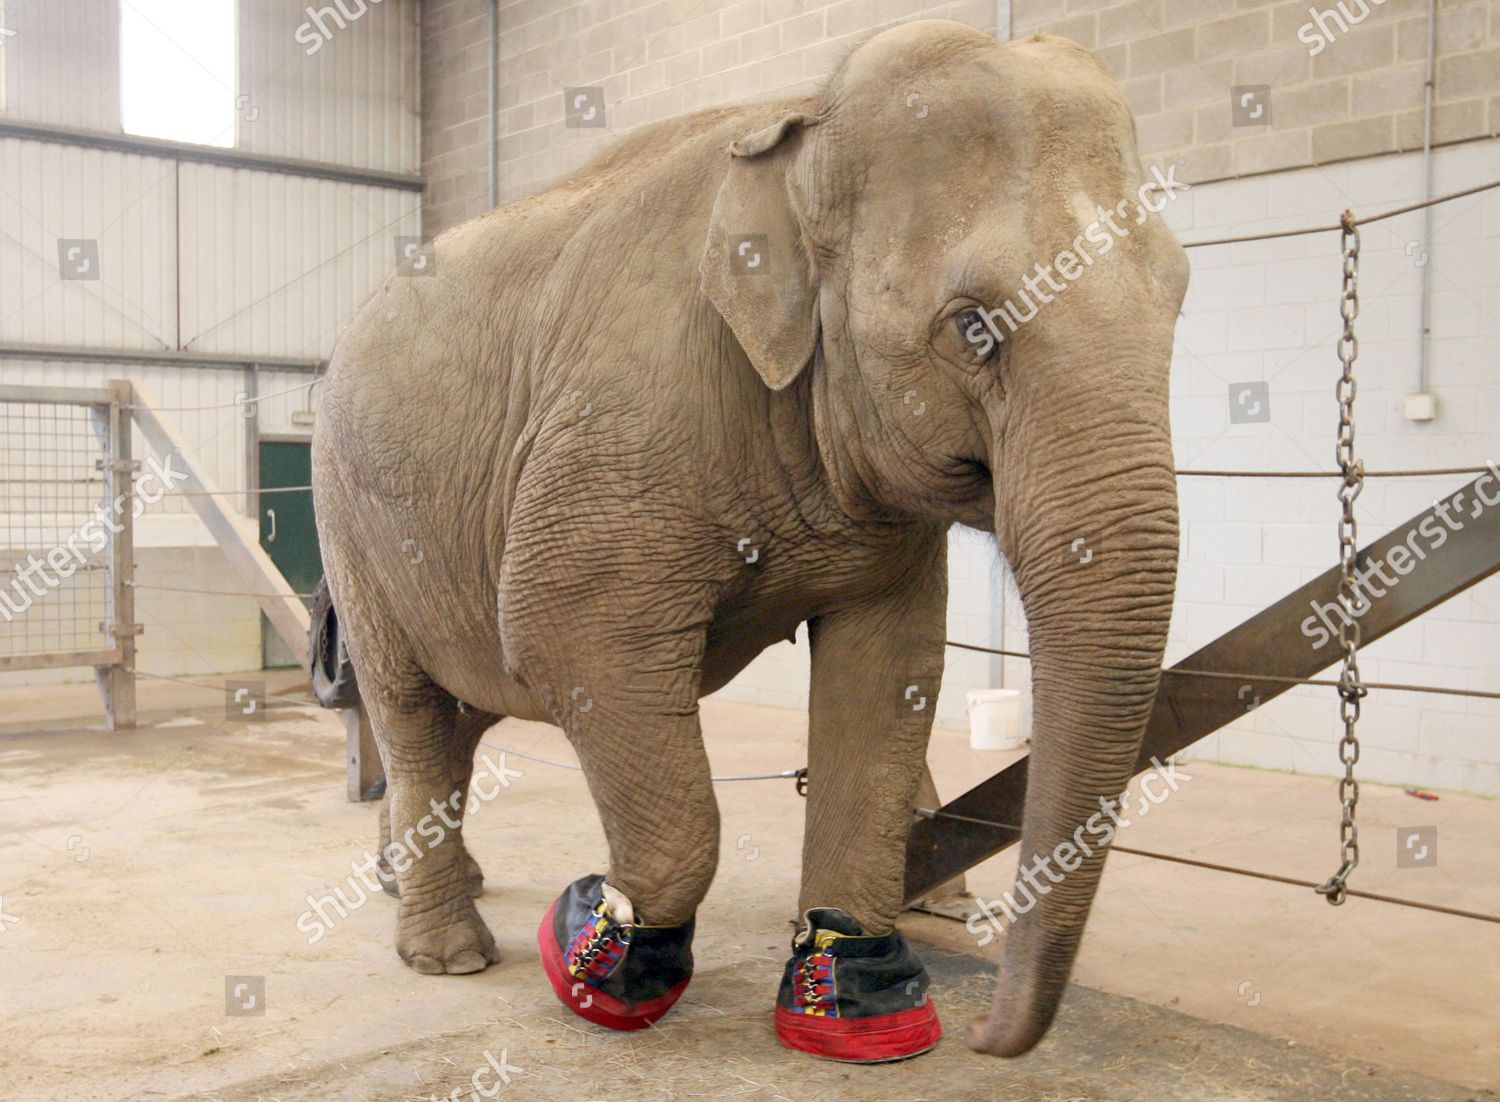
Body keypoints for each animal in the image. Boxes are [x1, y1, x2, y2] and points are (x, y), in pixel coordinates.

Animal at [310, 21, 1188, 1067]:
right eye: (975, 326)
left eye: (1180, 299)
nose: (984, 1033)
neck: (798, 126)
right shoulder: (619, 425)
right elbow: (568, 634)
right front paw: (597, 948)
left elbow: (889, 674)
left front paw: (857, 997)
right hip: (347, 510)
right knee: (409, 701)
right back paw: (449, 954)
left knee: (465, 708)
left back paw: (412, 885)